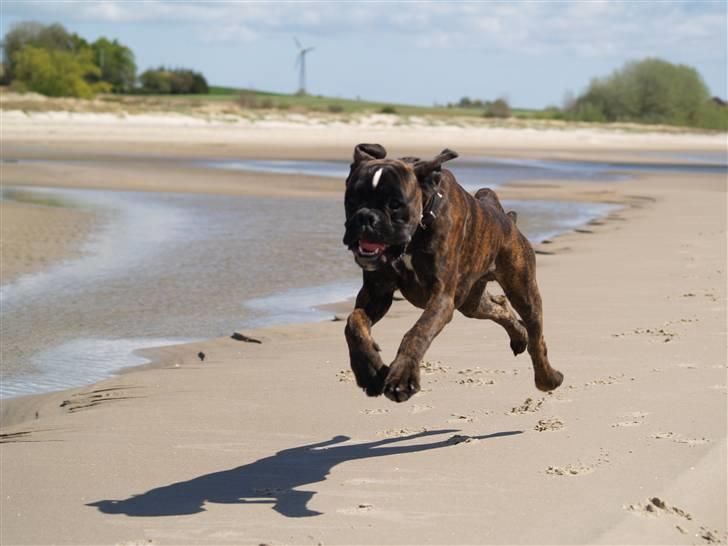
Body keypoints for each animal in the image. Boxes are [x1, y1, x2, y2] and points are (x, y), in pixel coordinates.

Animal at [342, 142, 564, 402]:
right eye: (351, 200)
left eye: (395, 204)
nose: (366, 217)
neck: (418, 229)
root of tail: (504, 217)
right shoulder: (376, 293)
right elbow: (354, 322)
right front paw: (370, 373)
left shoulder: (441, 298)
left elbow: (417, 332)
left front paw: (402, 378)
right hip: (471, 302)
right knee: (501, 307)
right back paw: (519, 336)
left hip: (523, 291)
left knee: (536, 338)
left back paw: (548, 378)